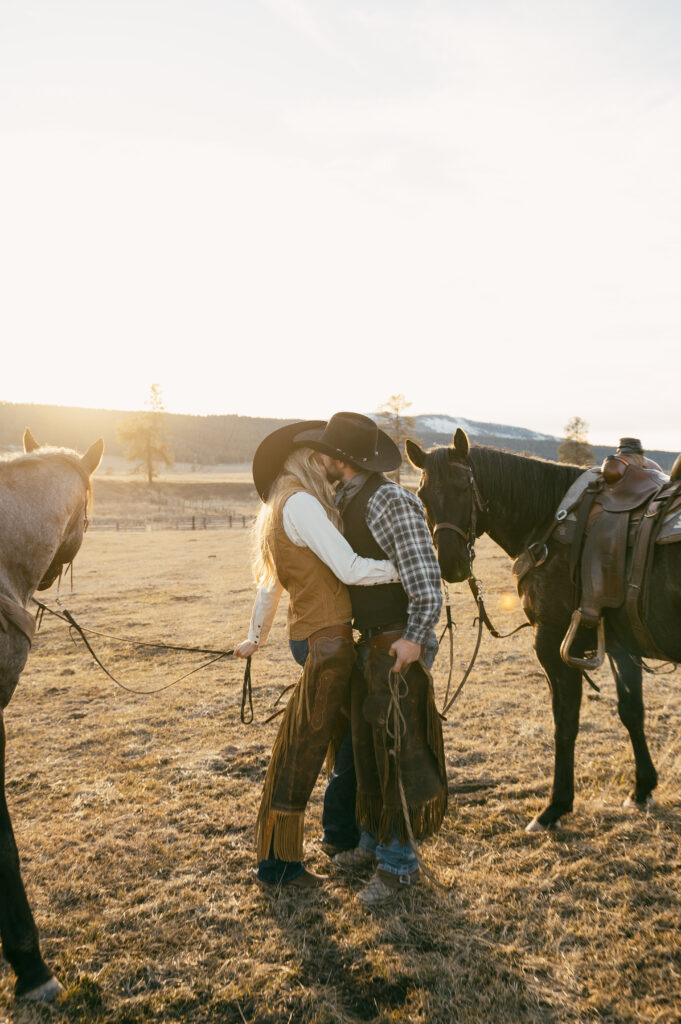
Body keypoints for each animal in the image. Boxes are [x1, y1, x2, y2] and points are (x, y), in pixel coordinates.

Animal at [405, 430, 675, 831]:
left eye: (463, 486)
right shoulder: (621, 646)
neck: (550, 522)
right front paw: (642, 788)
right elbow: (631, 711)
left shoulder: (553, 642)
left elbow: (565, 724)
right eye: (422, 495)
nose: (450, 564)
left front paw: (554, 807)